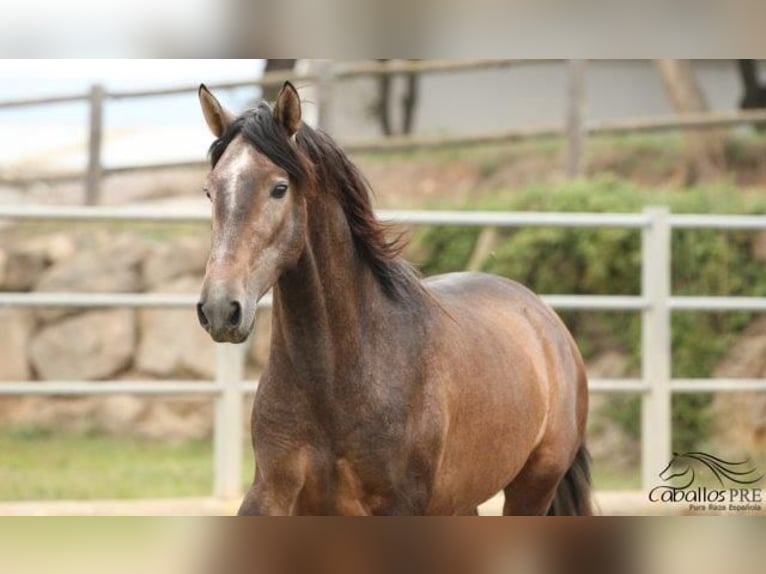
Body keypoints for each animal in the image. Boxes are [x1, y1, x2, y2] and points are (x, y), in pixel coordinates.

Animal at [195, 82, 592, 516]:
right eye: (210, 191)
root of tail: (547, 320)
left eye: (279, 188)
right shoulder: (272, 495)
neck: (337, 382)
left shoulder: (401, 505)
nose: (220, 308)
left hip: (534, 487)